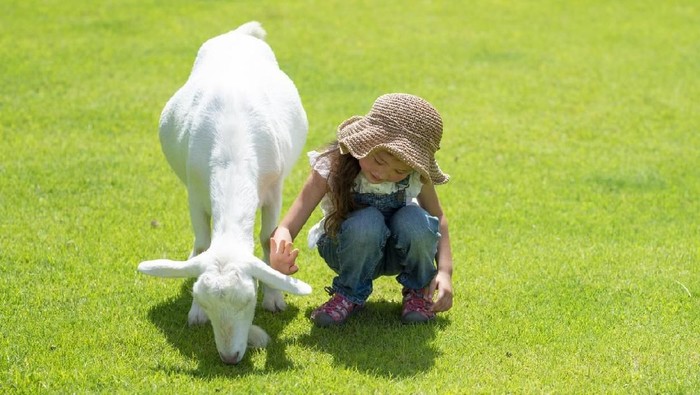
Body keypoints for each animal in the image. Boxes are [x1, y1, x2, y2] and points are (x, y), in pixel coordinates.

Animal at [138, 21, 310, 366]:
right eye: (203, 301)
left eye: (249, 300)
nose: (230, 357)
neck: (232, 153)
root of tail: (238, 34)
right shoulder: (195, 192)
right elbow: (204, 242)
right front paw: (194, 314)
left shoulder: (274, 189)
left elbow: (268, 237)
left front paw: (275, 297)